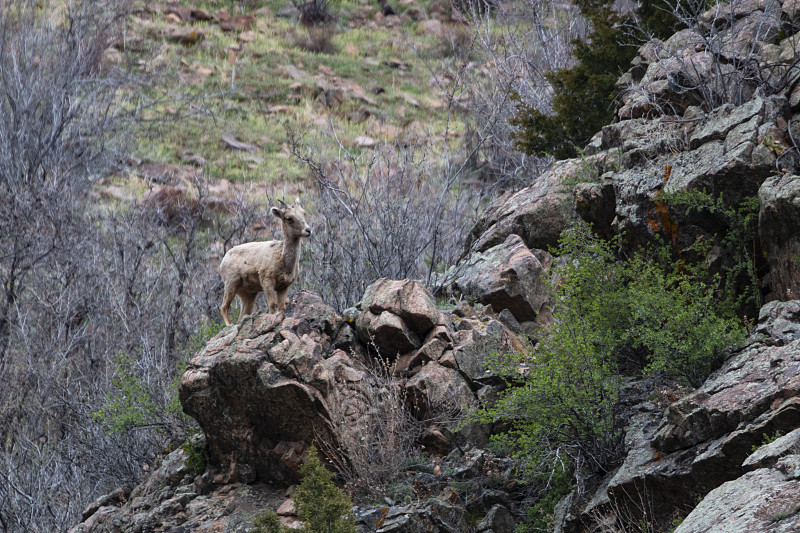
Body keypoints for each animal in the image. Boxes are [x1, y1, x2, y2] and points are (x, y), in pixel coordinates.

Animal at [219, 198, 312, 326]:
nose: (308, 230)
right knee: (223, 307)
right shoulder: (267, 281)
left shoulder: (283, 286)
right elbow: (272, 305)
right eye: (289, 218)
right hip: (231, 284)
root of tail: (223, 260)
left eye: (303, 213)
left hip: (248, 294)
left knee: (242, 315)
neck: (284, 263)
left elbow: (281, 307)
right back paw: (230, 324)